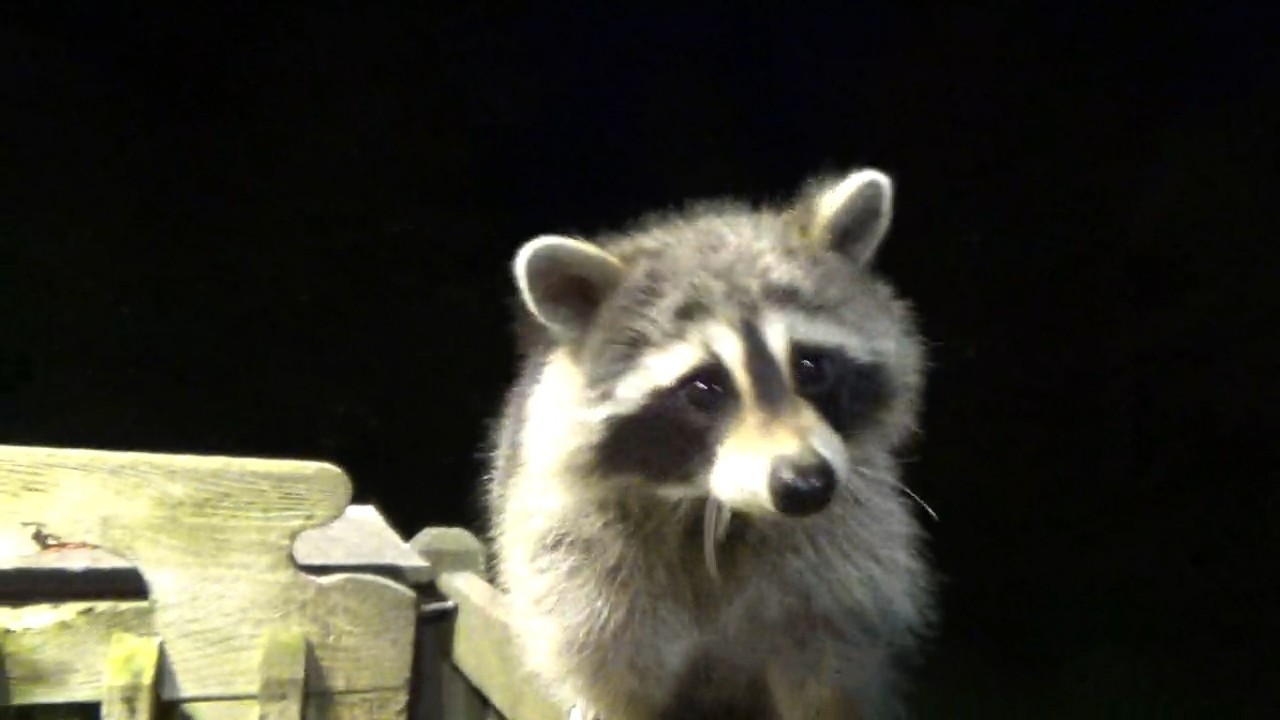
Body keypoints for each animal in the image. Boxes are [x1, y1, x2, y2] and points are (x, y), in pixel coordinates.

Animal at [482, 168, 935, 720]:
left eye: (810, 366)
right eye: (703, 388)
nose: (806, 483)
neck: (715, 507)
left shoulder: (844, 555)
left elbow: (824, 657)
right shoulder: (580, 554)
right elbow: (609, 656)